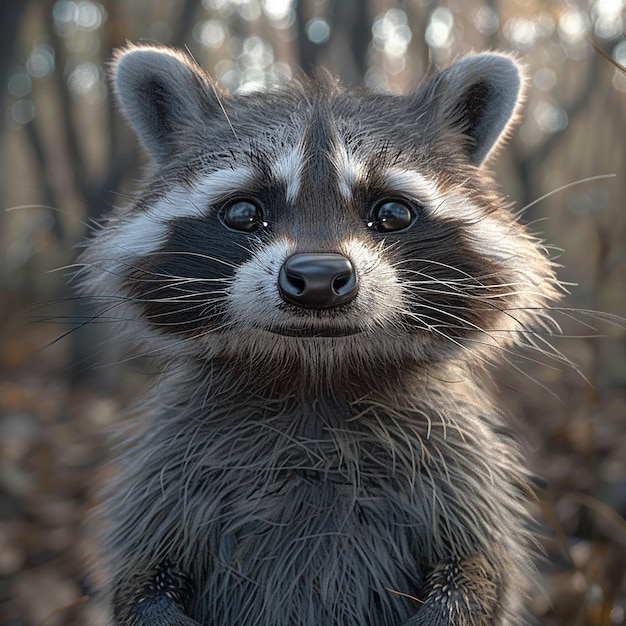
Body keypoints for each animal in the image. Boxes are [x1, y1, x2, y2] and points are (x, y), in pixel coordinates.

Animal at [75, 45, 560, 624]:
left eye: (391, 212)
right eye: (244, 212)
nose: (319, 279)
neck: (315, 373)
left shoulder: (456, 458)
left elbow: (478, 564)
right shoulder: (169, 464)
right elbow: (143, 573)